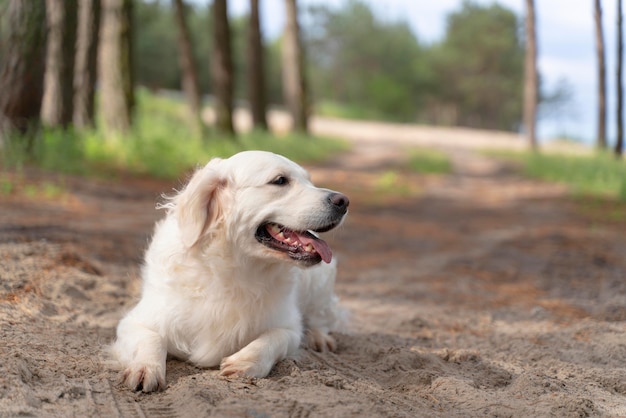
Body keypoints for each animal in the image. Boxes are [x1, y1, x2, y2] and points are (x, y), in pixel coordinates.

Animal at [110, 150, 348, 392]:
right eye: (280, 180)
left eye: (310, 181)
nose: (343, 201)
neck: (233, 269)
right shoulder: (135, 321)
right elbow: (151, 340)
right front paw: (145, 368)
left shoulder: (289, 327)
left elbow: (273, 339)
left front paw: (244, 362)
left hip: (320, 284)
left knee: (321, 316)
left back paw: (320, 337)